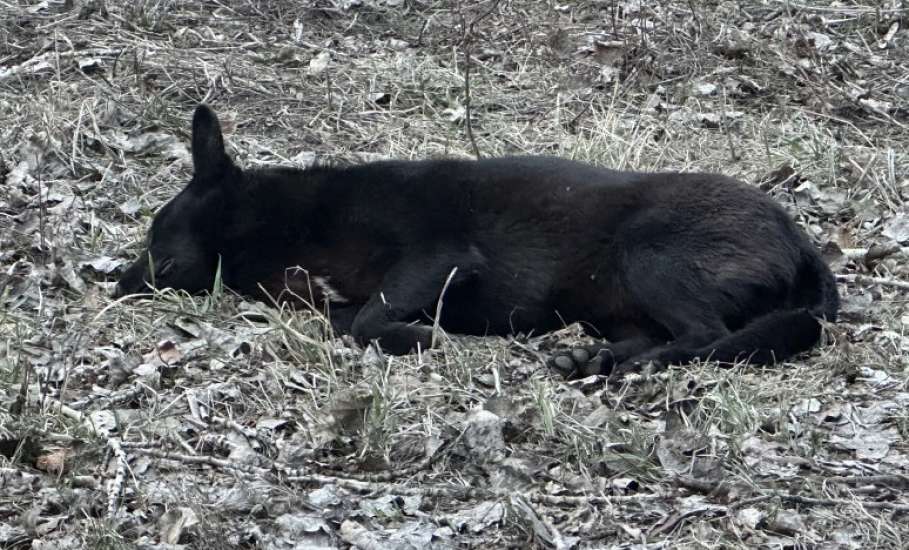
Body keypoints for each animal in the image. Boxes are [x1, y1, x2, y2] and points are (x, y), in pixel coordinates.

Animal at [119, 105, 836, 378]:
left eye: (156, 235)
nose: (113, 282)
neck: (289, 219)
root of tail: (799, 240)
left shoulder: (438, 257)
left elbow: (369, 317)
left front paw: (420, 337)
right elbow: (347, 318)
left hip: (649, 257)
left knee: (705, 336)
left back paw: (638, 366)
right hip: (608, 302)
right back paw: (592, 360)